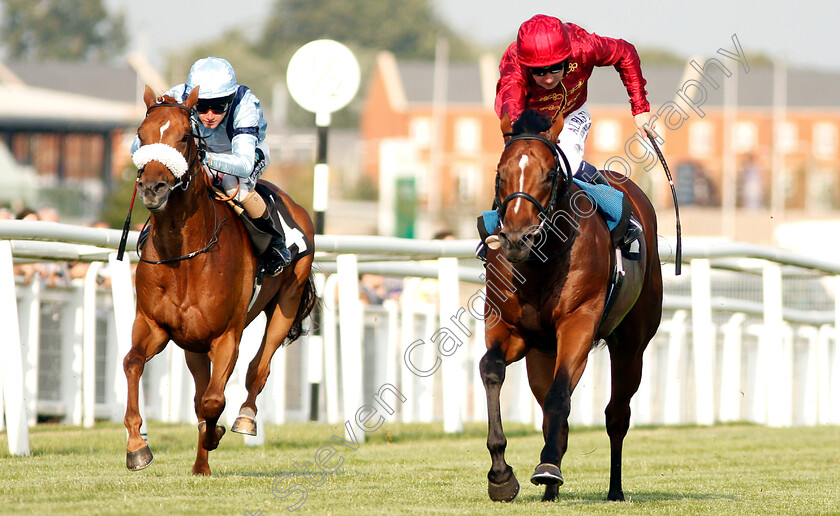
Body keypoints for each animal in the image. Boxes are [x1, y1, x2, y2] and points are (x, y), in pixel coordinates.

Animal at [124, 85, 318, 476]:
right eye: (141, 135)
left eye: (184, 137)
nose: (153, 187)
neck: (184, 256)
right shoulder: (154, 325)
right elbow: (133, 363)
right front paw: (137, 446)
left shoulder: (227, 335)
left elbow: (214, 401)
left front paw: (215, 434)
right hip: (192, 342)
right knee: (201, 389)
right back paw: (201, 465)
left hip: (286, 303)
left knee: (258, 368)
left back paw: (244, 419)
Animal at [480, 111, 664, 502]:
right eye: (501, 173)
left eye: (549, 175)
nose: (516, 238)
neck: (541, 262)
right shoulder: (509, 329)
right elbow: (492, 370)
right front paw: (501, 474)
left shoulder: (578, 323)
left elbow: (559, 394)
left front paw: (546, 467)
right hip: (542, 353)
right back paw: (550, 491)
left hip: (631, 346)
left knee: (616, 414)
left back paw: (614, 489)